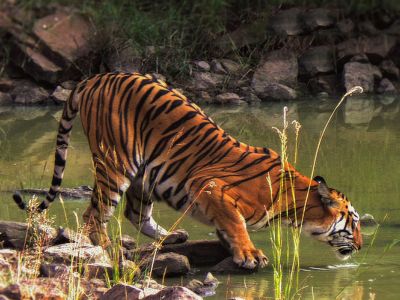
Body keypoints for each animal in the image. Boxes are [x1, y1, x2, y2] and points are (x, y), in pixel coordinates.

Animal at [12, 72, 362, 270]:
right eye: (354, 223)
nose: (360, 247)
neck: (294, 206)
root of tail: (95, 78)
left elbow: (226, 226)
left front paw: (232, 249)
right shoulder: (210, 186)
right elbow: (236, 223)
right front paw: (249, 254)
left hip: (144, 176)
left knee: (135, 213)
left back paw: (172, 236)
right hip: (116, 162)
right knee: (95, 215)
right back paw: (110, 250)